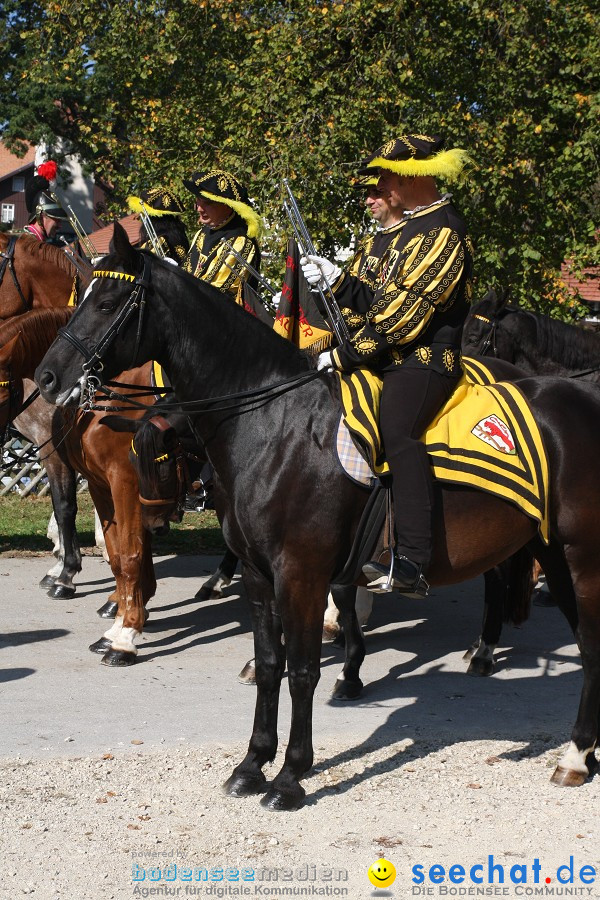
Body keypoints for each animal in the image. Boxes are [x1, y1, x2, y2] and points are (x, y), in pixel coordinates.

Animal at [34, 223, 600, 808]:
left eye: (106, 302)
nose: (48, 378)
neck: (272, 421)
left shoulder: (301, 573)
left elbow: (303, 670)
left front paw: (290, 776)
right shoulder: (260, 574)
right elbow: (269, 665)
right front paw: (251, 764)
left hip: (582, 560)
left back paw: (568, 746)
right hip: (554, 556)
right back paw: (576, 751)